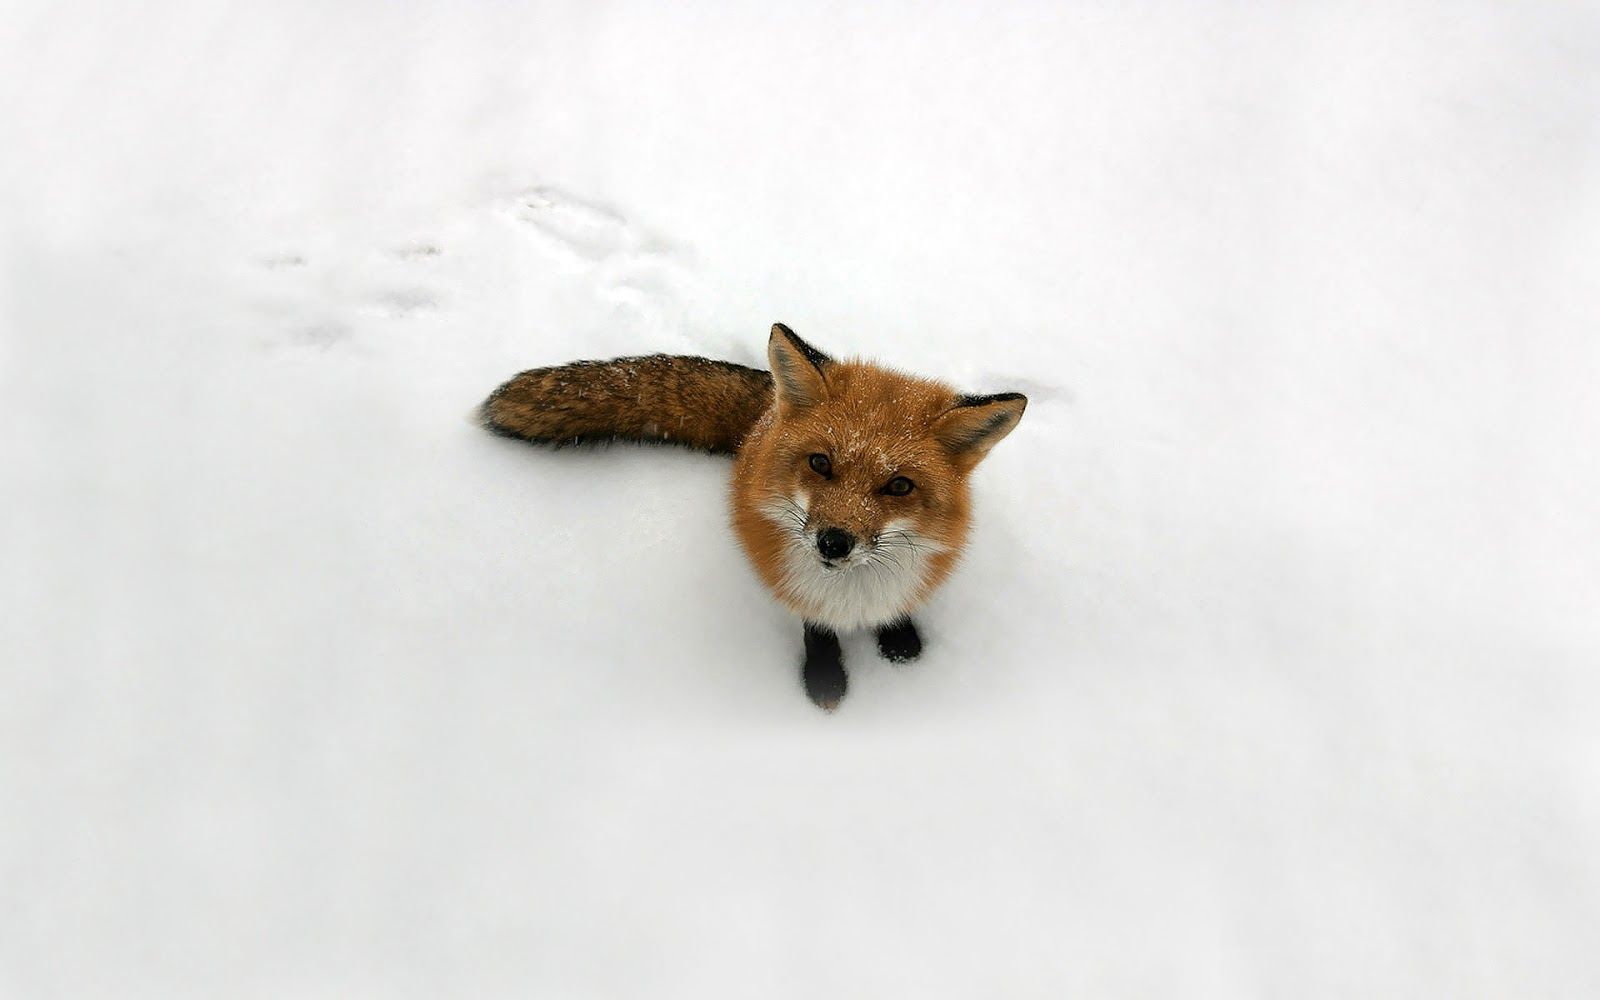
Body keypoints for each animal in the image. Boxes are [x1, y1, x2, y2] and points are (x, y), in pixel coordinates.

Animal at [479, 323, 1026, 710]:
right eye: (820, 463)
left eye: (899, 486)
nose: (833, 542)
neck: (853, 597)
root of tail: (765, 412)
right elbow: (816, 628)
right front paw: (824, 680)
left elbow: (898, 610)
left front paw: (901, 642)